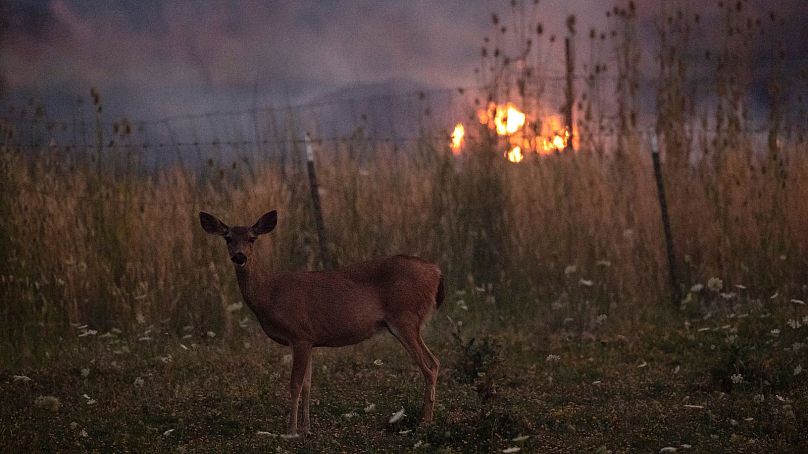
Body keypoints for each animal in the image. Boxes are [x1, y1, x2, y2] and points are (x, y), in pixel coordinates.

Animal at [199, 211, 446, 434]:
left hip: (405, 318)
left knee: (430, 365)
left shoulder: (298, 334)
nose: (239, 257)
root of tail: (437, 271)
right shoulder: (309, 340)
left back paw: (425, 421)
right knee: (433, 362)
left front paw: (291, 430)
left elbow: (295, 384)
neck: (269, 294)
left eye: (252, 237)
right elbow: (308, 385)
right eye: (228, 238)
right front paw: (306, 428)